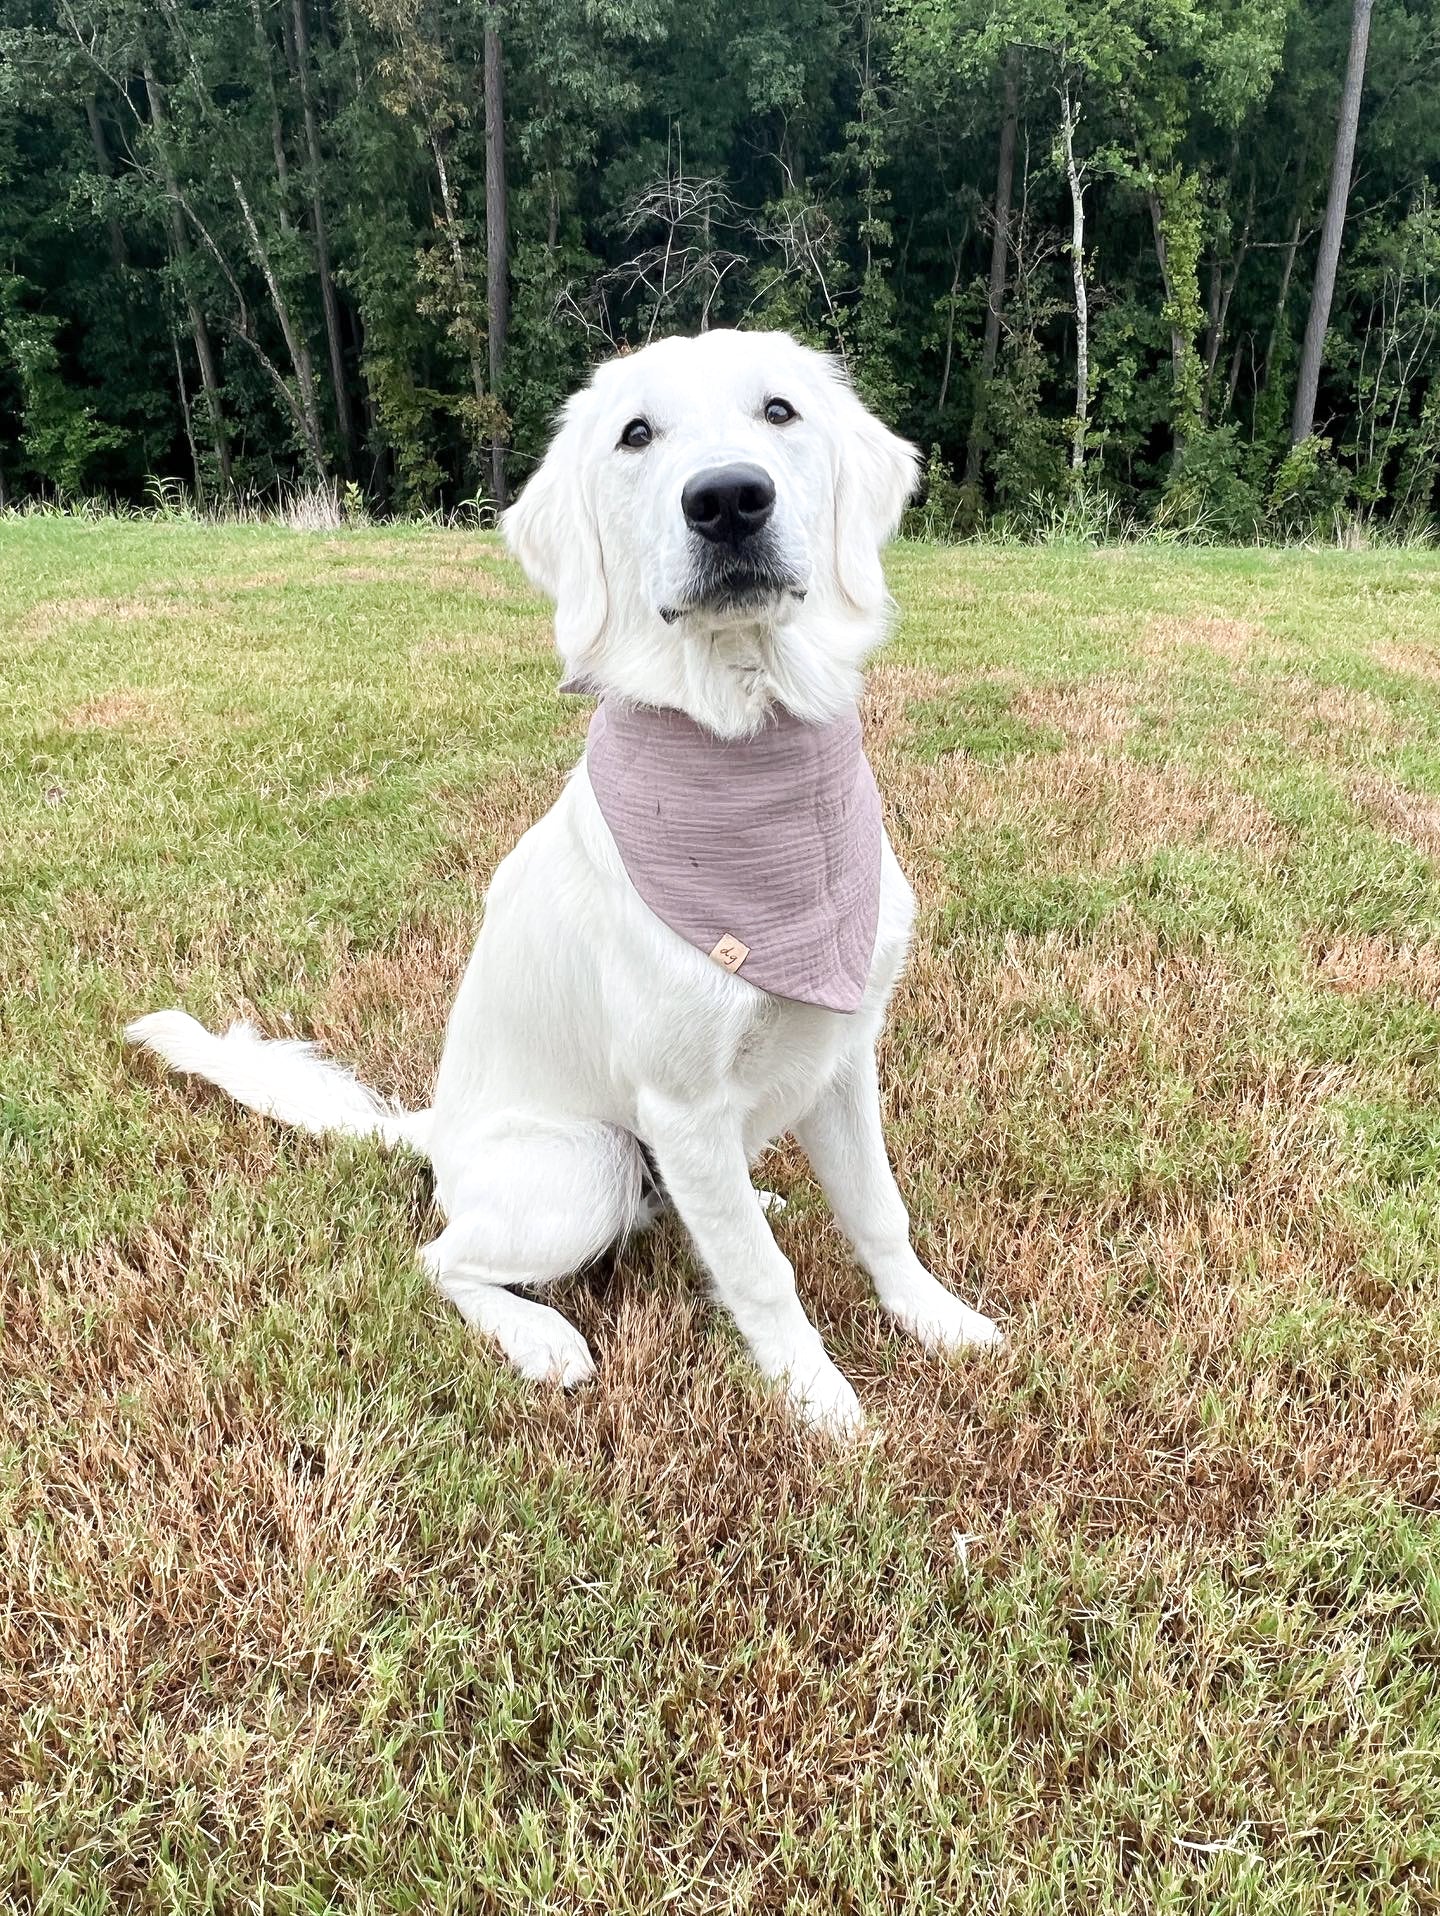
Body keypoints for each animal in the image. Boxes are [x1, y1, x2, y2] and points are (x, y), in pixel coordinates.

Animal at [132, 333, 1003, 1440]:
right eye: (636, 434)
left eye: (779, 411)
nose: (728, 500)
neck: (752, 746)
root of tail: (438, 1130)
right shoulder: (681, 1102)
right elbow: (762, 1276)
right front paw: (818, 1399)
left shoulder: (842, 1053)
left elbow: (880, 1212)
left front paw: (936, 1319)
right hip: (588, 1162)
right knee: (440, 1256)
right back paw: (540, 1336)